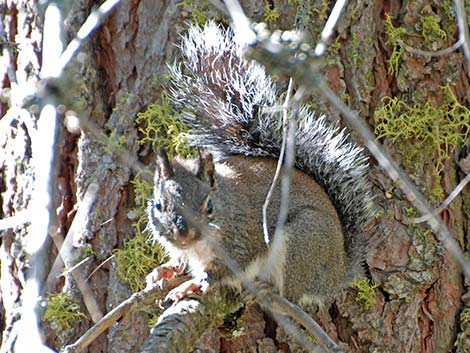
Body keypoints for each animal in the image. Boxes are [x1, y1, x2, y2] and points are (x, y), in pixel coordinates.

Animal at [145, 22, 372, 308]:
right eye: (158, 205)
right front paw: (166, 270)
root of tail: (338, 271)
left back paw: (267, 291)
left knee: (293, 295)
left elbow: (223, 270)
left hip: (302, 241)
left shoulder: (244, 239)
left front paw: (194, 284)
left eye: (209, 207)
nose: (183, 235)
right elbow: (179, 260)